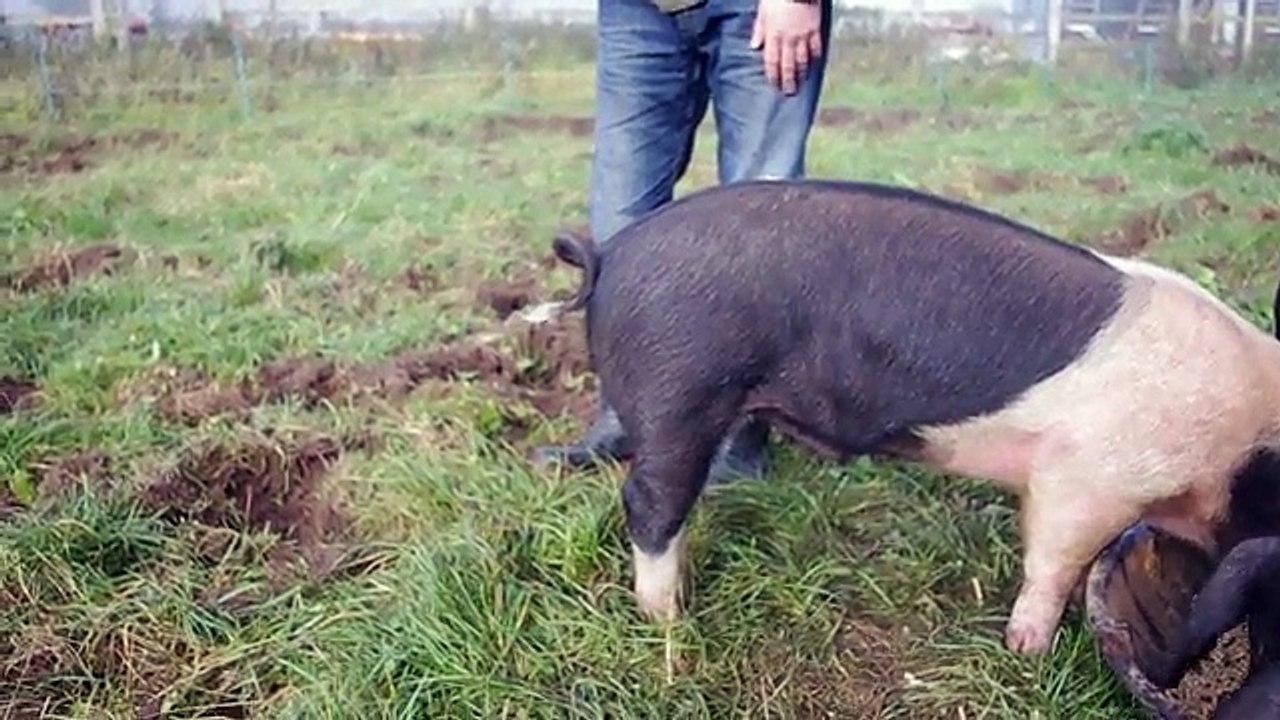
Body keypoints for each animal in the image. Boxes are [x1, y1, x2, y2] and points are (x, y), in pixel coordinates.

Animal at [537, 178, 1280, 657]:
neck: (1236, 447)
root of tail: (610, 255)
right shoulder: (1091, 478)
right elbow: (1053, 559)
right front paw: (1027, 651)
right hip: (682, 389)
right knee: (650, 500)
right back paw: (671, 622)